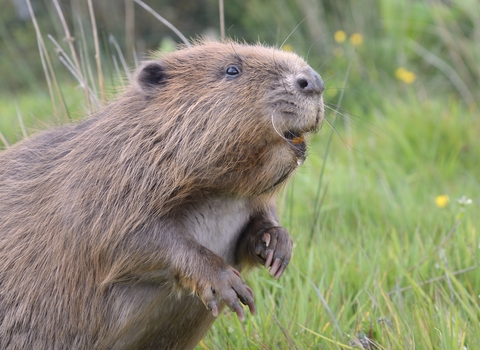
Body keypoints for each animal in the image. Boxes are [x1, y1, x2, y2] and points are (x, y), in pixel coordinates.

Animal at [0, 39, 326, 348]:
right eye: (232, 70)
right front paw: (229, 286)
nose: (314, 81)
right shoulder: (97, 187)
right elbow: (129, 241)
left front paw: (278, 246)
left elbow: (255, 229)